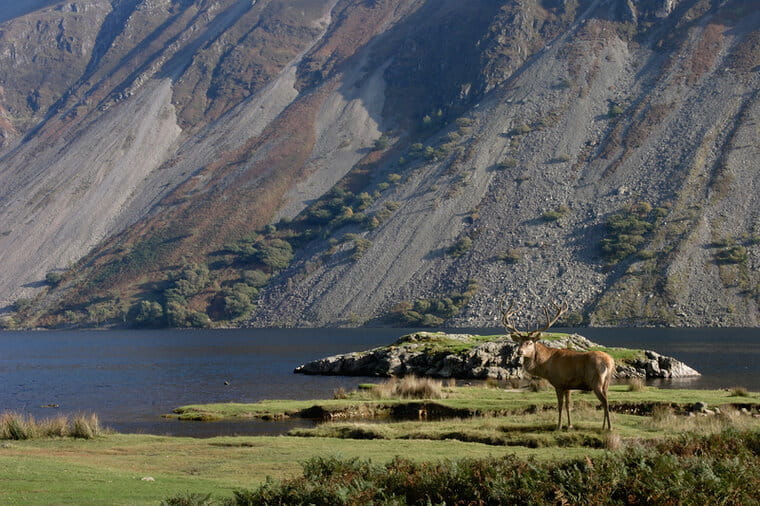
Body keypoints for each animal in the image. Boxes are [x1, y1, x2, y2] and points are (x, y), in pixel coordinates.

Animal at [500, 299, 615, 430]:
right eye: (519, 342)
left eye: (529, 342)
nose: (519, 352)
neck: (545, 367)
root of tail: (609, 362)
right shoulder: (568, 386)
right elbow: (568, 404)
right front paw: (569, 425)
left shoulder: (558, 383)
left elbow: (560, 405)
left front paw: (559, 426)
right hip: (607, 382)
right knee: (606, 399)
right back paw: (603, 426)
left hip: (596, 381)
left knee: (605, 401)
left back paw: (609, 427)